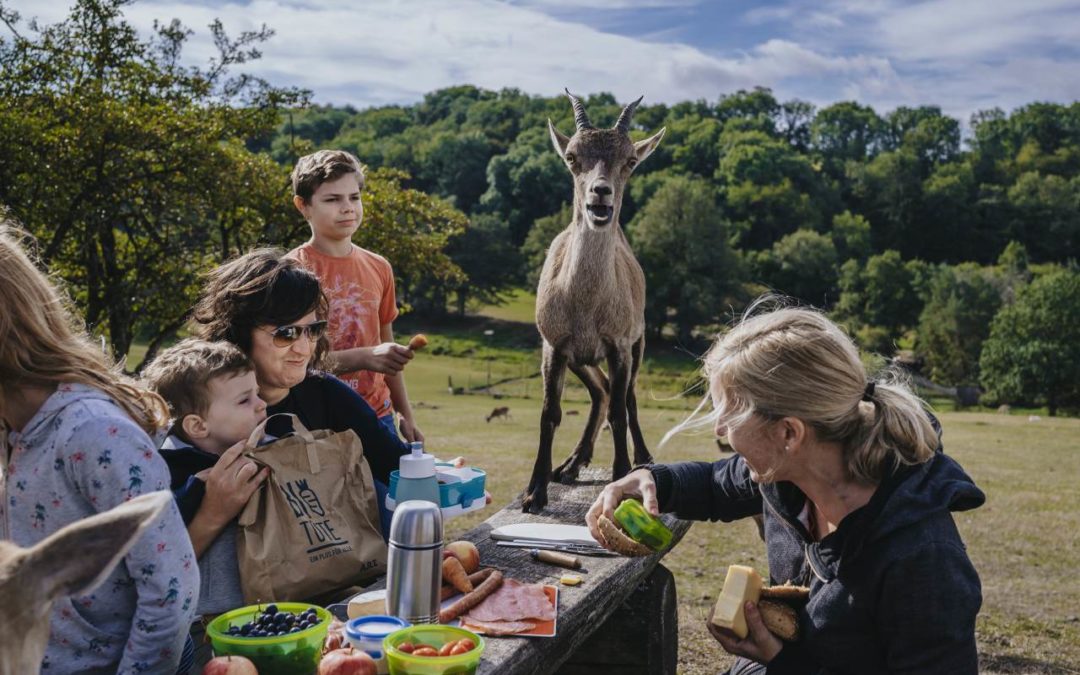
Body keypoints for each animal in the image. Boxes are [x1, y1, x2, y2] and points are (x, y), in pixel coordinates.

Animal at [522, 89, 665, 509]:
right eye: (572, 157)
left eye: (630, 161)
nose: (600, 193)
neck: (585, 305)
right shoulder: (554, 344)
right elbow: (550, 413)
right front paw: (535, 491)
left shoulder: (618, 344)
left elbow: (620, 411)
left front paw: (621, 476)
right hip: (581, 358)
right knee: (600, 390)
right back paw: (570, 464)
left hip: (638, 342)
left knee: (626, 397)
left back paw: (641, 457)